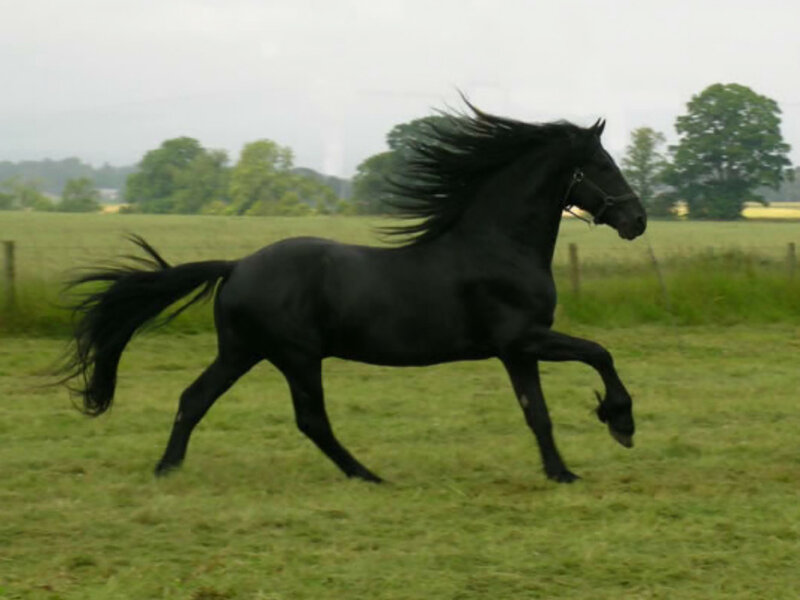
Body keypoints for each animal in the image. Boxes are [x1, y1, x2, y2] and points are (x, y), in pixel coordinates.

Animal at [58, 102, 647, 484]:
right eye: (602, 165)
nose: (638, 220)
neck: (497, 246)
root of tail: (238, 266)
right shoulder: (524, 338)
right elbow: (601, 354)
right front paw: (620, 422)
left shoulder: (516, 350)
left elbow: (536, 412)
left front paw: (561, 472)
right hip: (294, 356)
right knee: (310, 420)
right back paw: (367, 475)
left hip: (244, 352)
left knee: (194, 398)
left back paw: (167, 468)